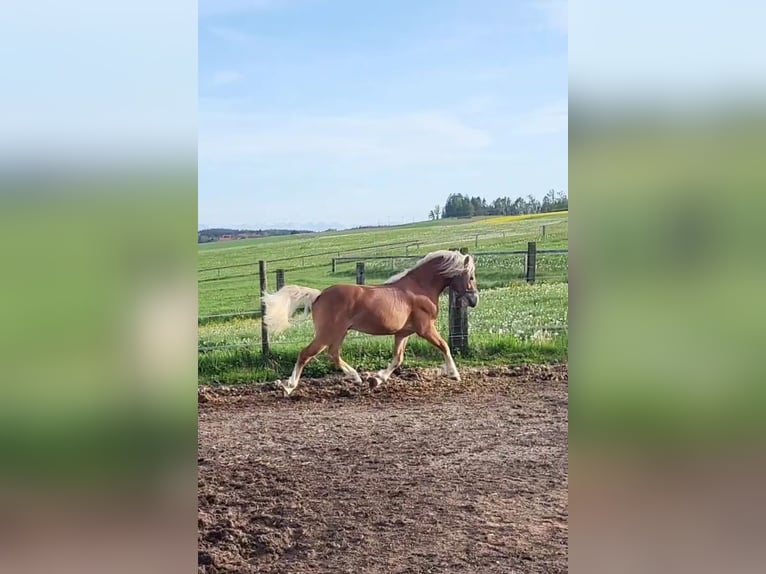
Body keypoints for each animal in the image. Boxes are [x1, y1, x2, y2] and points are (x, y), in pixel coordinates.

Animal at [264, 250, 480, 398]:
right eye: (470, 276)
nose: (474, 300)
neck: (419, 289)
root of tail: (318, 295)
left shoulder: (403, 333)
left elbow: (398, 358)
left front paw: (376, 379)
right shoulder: (425, 328)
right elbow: (444, 346)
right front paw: (454, 375)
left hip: (339, 333)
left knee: (333, 354)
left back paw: (357, 378)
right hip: (327, 333)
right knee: (306, 354)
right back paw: (289, 387)